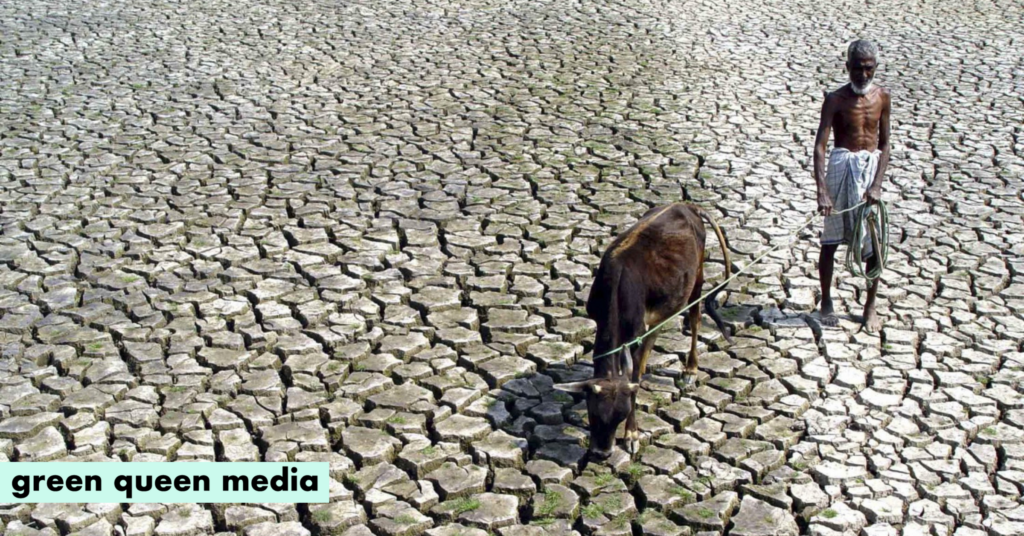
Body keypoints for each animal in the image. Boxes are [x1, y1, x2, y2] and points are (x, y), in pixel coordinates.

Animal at [554, 202, 733, 460]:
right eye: (593, 412)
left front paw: (632, 435)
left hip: (697, 278)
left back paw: (690, 369)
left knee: (695, 318)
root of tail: (686, 205)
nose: (601, 454)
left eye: (620, 416)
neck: (617, 287)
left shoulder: (635, 332)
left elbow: (634, 377)